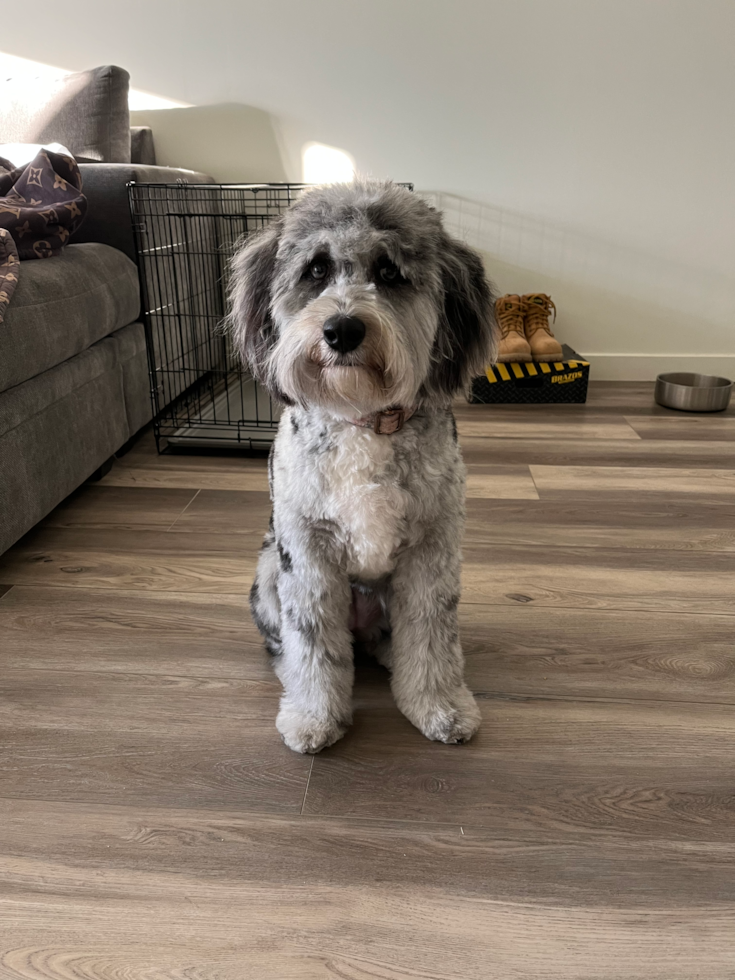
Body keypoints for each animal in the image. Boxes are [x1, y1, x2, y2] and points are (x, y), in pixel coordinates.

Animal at [227, 180, 498, 756]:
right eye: (316, 269)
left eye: (390, 272)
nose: (342, 329)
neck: (363, 418)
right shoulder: (308, 554)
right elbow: (313, 645)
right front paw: (313, 717)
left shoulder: (431, 550)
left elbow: (433, 634)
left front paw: (439, 705)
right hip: (269, 574)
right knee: (291, 644)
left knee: (392, 640)